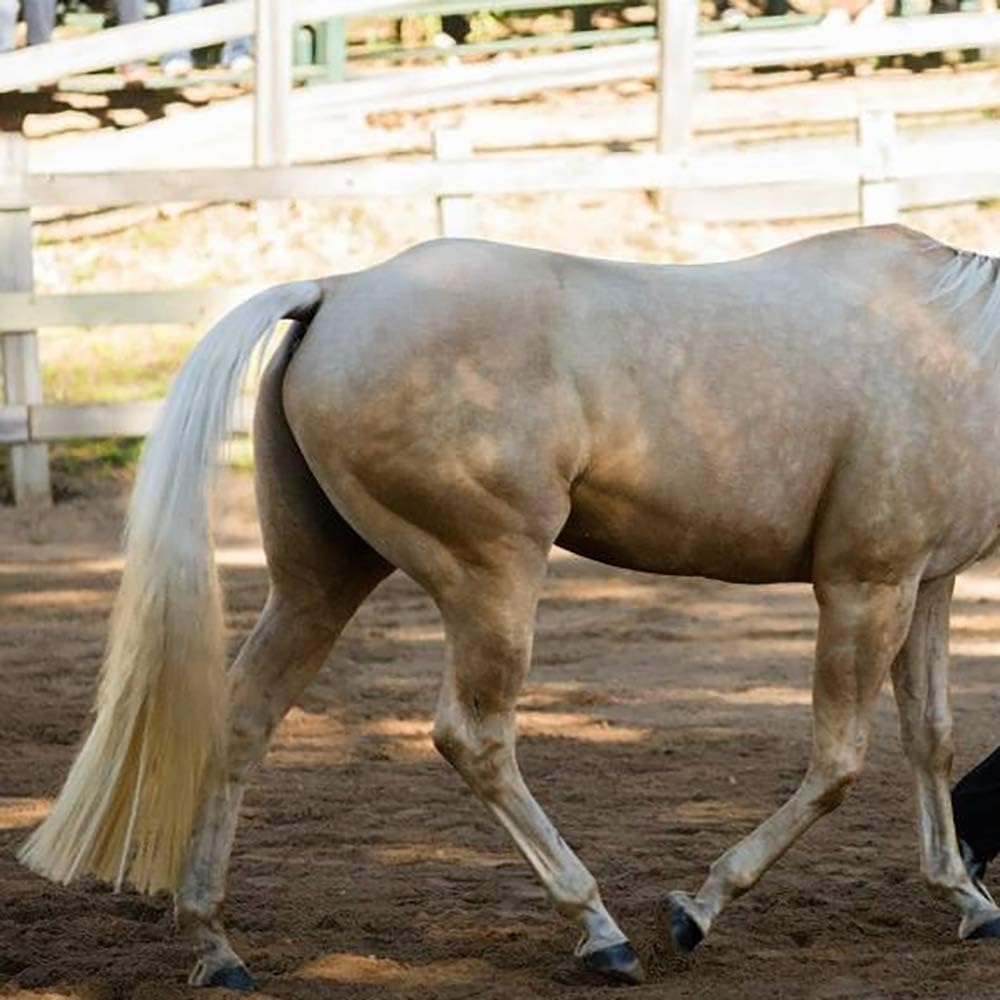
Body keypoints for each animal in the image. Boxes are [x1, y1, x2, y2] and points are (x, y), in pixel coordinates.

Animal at [18, 223, 1000, 989]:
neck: (955, 346)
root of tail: (338, 293)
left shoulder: (925, 584)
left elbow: (932, 738)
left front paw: (968, 899)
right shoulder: (864, 586)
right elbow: (838, 764)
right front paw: (697, 909)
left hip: (319, 583)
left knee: (243, 721)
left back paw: (216, 946)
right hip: (492, 577)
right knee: (474, 736)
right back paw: (599, 932)